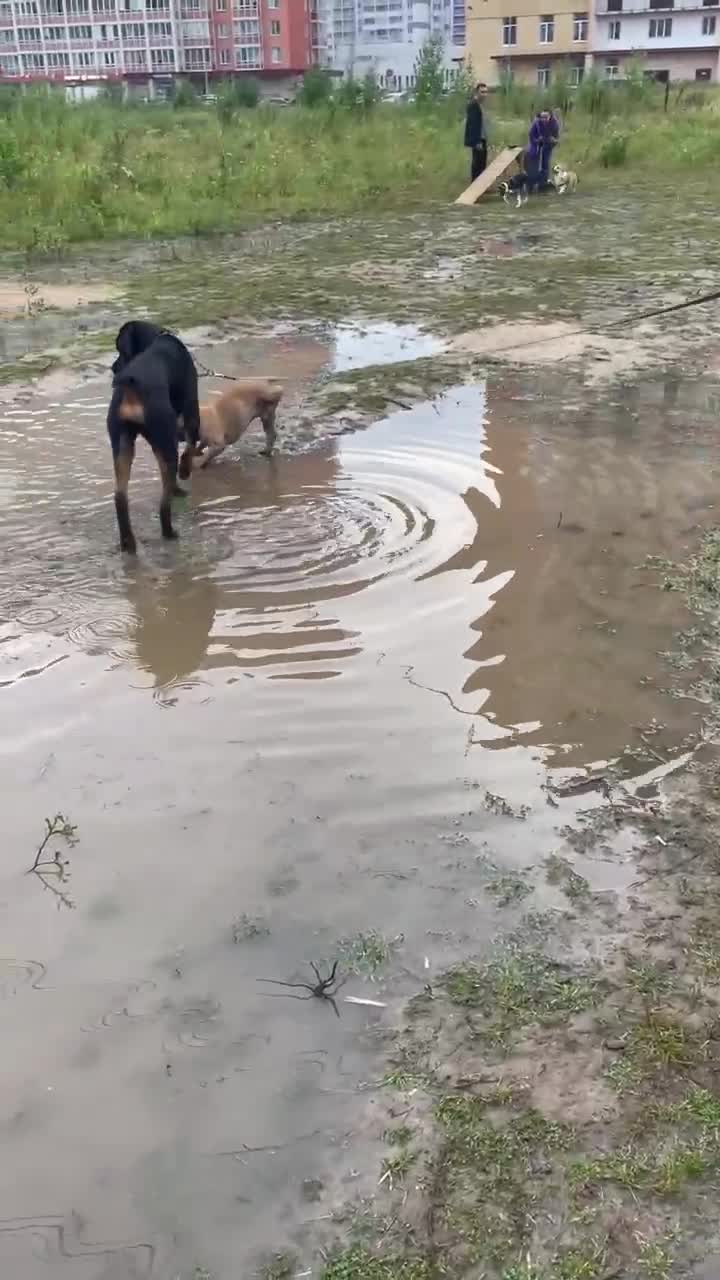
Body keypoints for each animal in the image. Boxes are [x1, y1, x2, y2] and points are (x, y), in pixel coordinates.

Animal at [105, 318, 198, 550]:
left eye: (119, 349)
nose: (113, 367)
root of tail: (131, 384)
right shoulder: (192, 410)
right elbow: (191, 446)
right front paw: (185, 472)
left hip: (122, 443)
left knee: (120, 496)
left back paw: (128, 542)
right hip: (164, 438)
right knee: (165, 500)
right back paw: (169, 531)